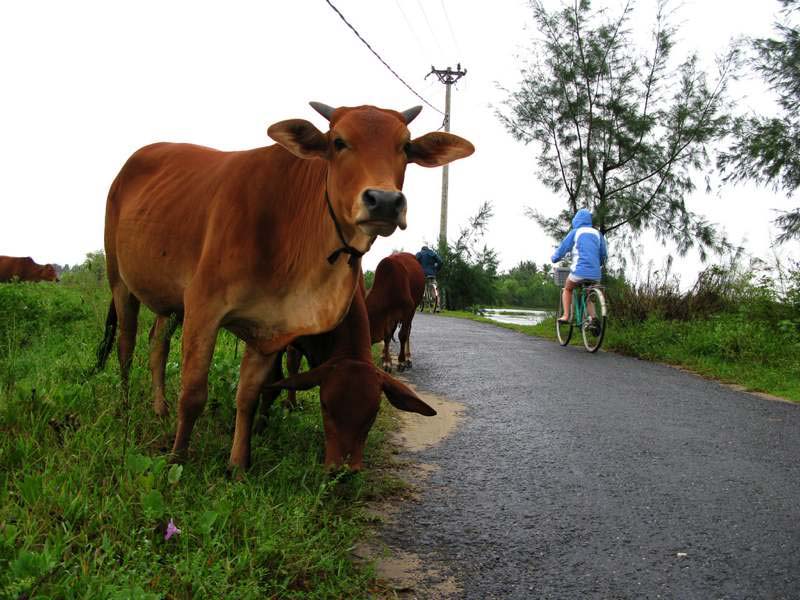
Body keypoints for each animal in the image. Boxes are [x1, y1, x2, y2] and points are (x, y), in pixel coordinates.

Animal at [96, 101, 472, 472]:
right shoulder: (203, 308)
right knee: (126, 346)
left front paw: (238, 466)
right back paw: (125, 406)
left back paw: (159, 408)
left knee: (156, 344)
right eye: (338, 142)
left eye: (405, 147)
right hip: (120, 280)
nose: (384, 201)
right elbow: (193, 393)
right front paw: (177, 460)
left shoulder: (271, 326)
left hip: (170, 302)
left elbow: (250, 394)